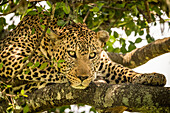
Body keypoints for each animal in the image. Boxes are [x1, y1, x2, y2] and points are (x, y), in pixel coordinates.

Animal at [0, 11, 166, 94]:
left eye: (92, 55)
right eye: (71, 54)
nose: (83, 77)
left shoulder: (104, 63)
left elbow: (123, 70)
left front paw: (151, 76)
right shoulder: (9, 54)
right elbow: (45, 65)